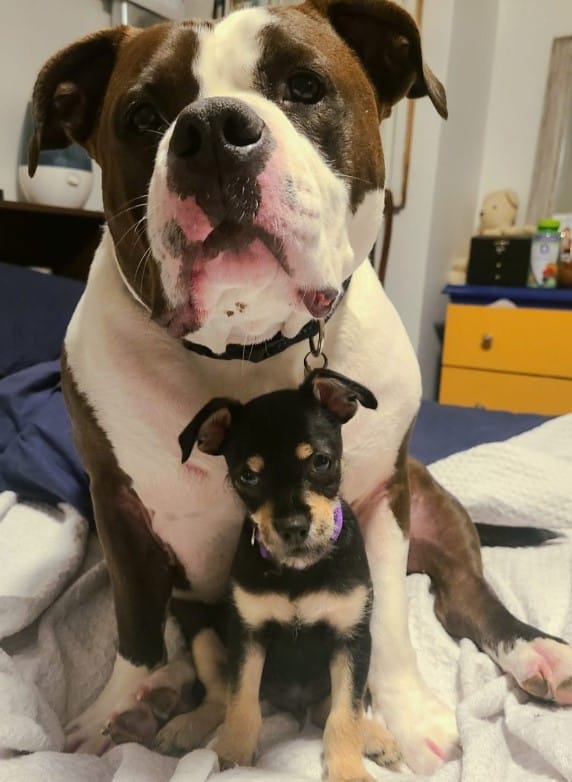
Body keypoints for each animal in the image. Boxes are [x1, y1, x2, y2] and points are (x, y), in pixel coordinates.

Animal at [181, 372, 400, 782]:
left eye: (321, 461)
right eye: (247, 476)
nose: (294, 527)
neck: (300, 572)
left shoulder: (351, 638)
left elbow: (345, 714)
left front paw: (348, 770)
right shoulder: (248, 635)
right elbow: (241, 703)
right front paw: (231, 758)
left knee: (338, 707)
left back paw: (375, 737)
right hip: (204, 636)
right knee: (219, 697)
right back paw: (180, 729)